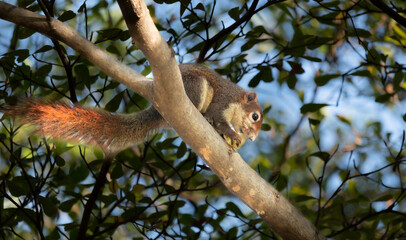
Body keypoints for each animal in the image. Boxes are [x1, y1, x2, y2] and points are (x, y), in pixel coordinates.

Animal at [3, 63, 264, 153]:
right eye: (255, 116)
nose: (252, 139)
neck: (237, 101)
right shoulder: (223, 101)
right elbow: (218, 118)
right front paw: (230, 133)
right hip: (195, 86)